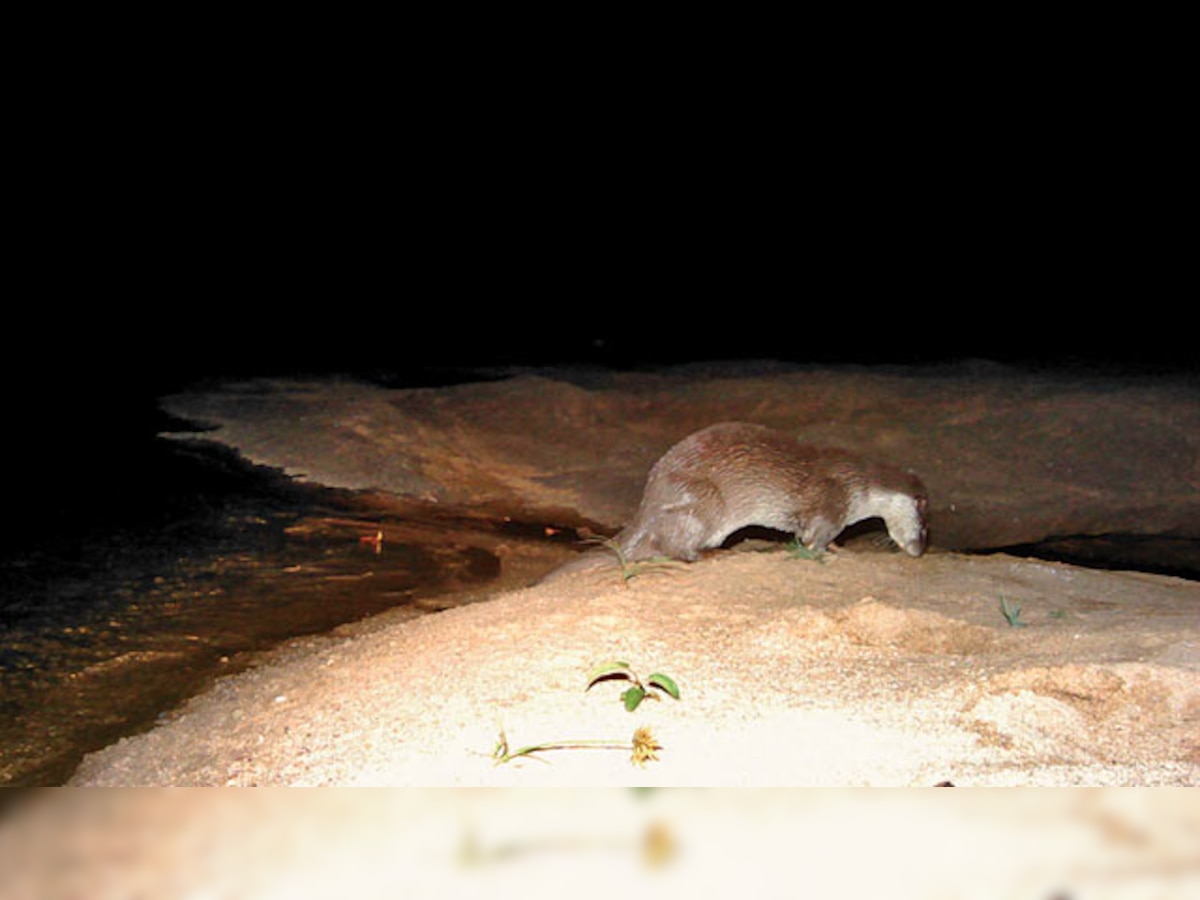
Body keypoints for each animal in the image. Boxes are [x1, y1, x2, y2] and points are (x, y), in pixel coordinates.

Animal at [614, 424, 931, 564]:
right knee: (673, 546)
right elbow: (816, 539)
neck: (859, 486)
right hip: (702, 501)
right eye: (925, 530)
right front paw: (832, 551)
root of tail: (647, 505)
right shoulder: (832, 501)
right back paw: (712, 554)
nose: (919, 551)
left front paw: (841, 548)